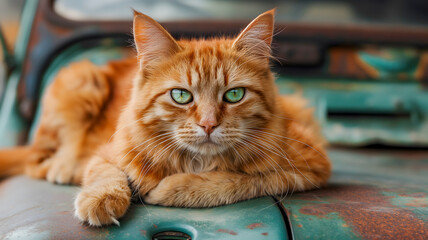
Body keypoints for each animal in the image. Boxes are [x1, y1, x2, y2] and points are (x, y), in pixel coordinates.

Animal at [0, 9, 332, 227]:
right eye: (181, 96)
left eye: (234, 95)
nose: (208, 125)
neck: (195, 160)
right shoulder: (106, 153)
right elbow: (107, 174)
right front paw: (101, 198)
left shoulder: (308, 167)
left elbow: (238, 180)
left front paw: (171, 189)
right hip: (81, 80)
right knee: (40, 161)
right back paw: (65, 168)